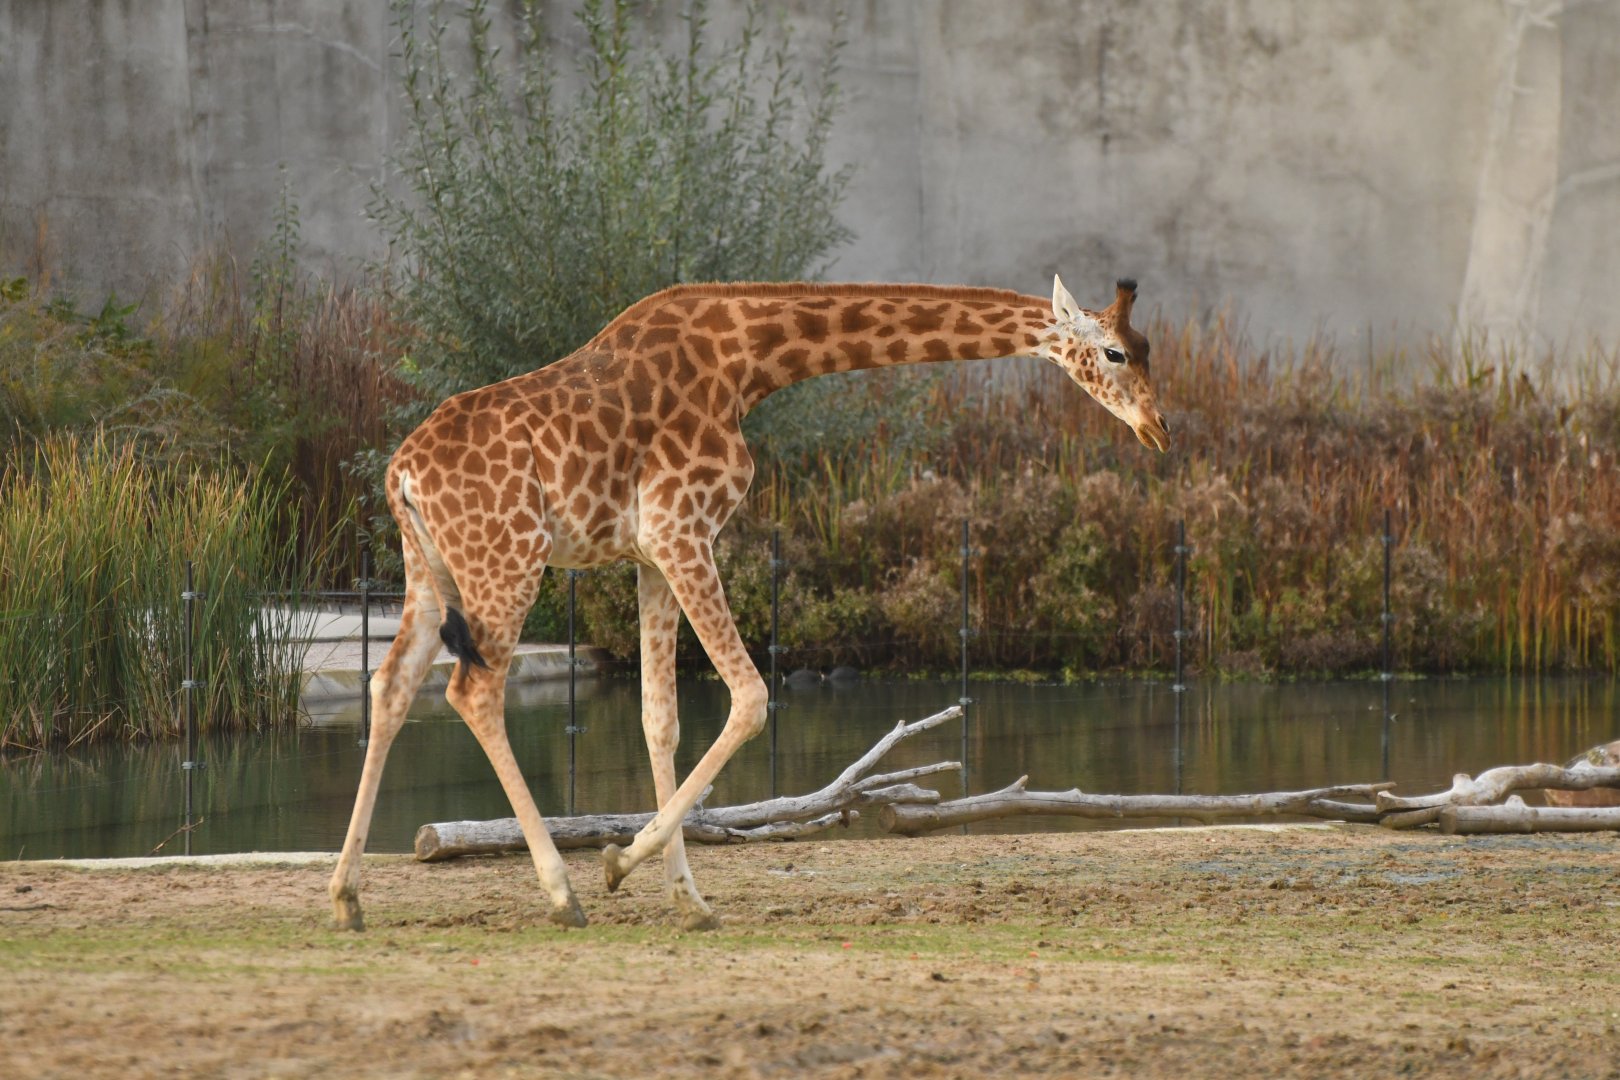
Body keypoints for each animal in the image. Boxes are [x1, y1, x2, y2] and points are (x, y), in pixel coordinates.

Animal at [328, 275, 1168, 932]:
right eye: (1117, 353)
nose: (1159, 429)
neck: (750, 360)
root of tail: (400, 475)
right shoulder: (681, 528)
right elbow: (752, 697)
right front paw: (618, 864)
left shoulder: (652, 554)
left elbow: (659, 719)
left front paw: (686, 898)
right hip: (506, 561)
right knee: (472, 691)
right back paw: (561, 894)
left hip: (430, 570)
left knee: (391, 684)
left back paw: (346, 897)